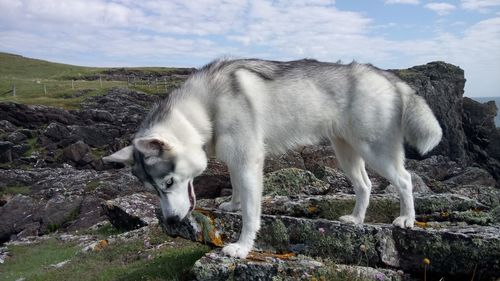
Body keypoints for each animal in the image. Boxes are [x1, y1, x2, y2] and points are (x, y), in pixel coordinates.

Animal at [104, 58, 442, 258]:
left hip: (376, 151)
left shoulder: (249, 161)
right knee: (365, 186)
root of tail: (385, 75)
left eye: (169, 182)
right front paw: (232, 203)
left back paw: (407, 218)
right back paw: (357, 219)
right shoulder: (236, 160)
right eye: (154, 190)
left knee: (405, 180)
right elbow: (236, 188)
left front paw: (242, 246)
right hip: (346, 153)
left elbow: (251, 213)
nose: (173, 221)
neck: (204, 108)